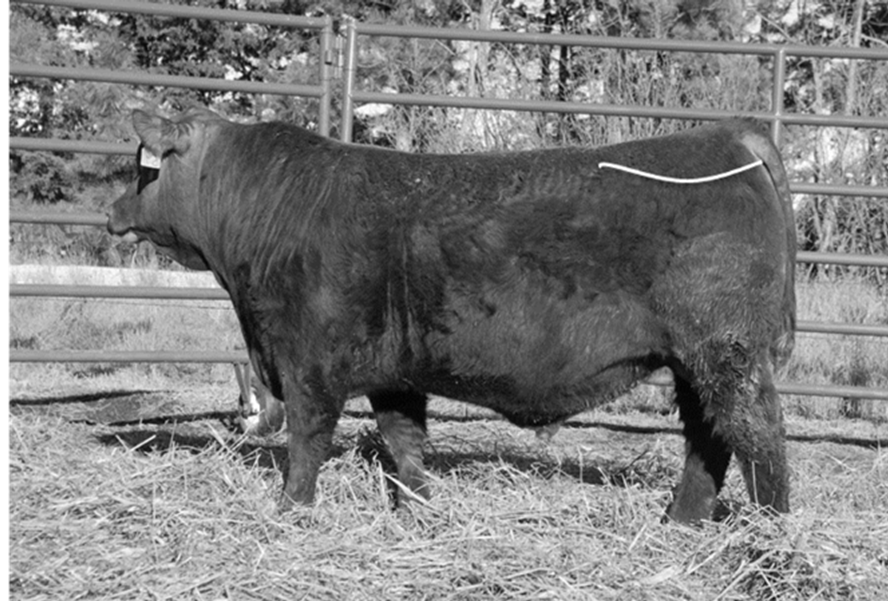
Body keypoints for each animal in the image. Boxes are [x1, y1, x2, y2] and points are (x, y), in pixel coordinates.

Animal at [108, 108, 795, 523]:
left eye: (145, 167)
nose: (111, 211)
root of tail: (725, 133)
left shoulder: (307, 363)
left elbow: (306, 440)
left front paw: (291, 510)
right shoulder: (394, 371)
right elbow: (403, 442)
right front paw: (417, 508)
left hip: (725, 350)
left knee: (758, 437)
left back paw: (772, 532)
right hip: (695, 361)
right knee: (709, 441)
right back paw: (679, 522)